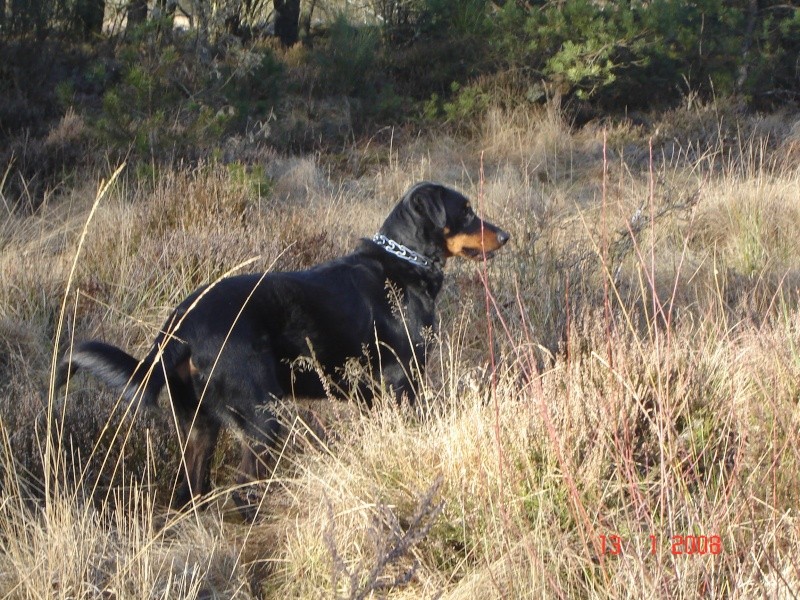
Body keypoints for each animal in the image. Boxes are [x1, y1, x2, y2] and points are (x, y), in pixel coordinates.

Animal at [56, 182, 510, 516]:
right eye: (465, 211)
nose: (505, 235)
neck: (405, 263)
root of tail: (181, 324)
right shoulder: (402, 381)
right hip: (262, 417)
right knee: (241, 490)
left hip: (199, 424)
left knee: (191, 490)